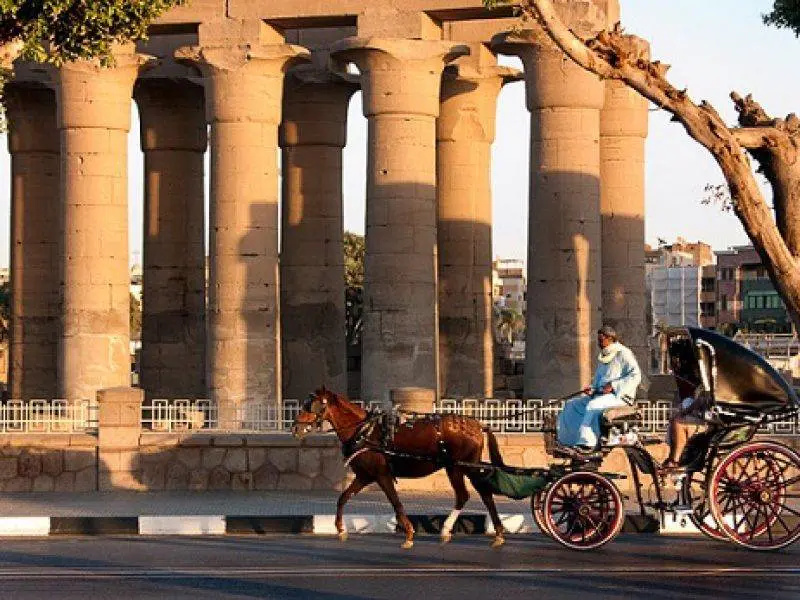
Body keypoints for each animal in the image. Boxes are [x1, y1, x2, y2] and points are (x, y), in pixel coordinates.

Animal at [294, 390, 506, 548]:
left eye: (312, 405)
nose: (296, 427)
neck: (364, 431)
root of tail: (478, 425)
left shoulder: (382, 474)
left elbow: (396, 502)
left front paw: (409, 534)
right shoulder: (364, 476)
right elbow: (343, 498)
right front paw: (341, 529)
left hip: (465, 466)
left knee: (483, 494)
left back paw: (496, 532)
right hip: (454, 467)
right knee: (465, 495)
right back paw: (452, 531)